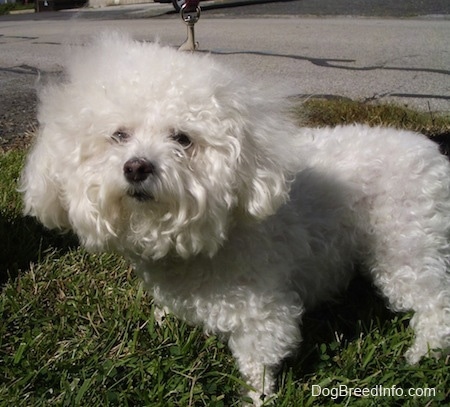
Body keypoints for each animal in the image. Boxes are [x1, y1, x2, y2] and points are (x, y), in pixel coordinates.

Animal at [21, 33, 450, 406]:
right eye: (119, 135)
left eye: (182, 138)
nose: (137, 167)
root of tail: (431, 154)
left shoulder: (261, 310)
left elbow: (258, 360)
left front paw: (257, 397)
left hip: (405, 249)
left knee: (436, 304)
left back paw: (420, 354)